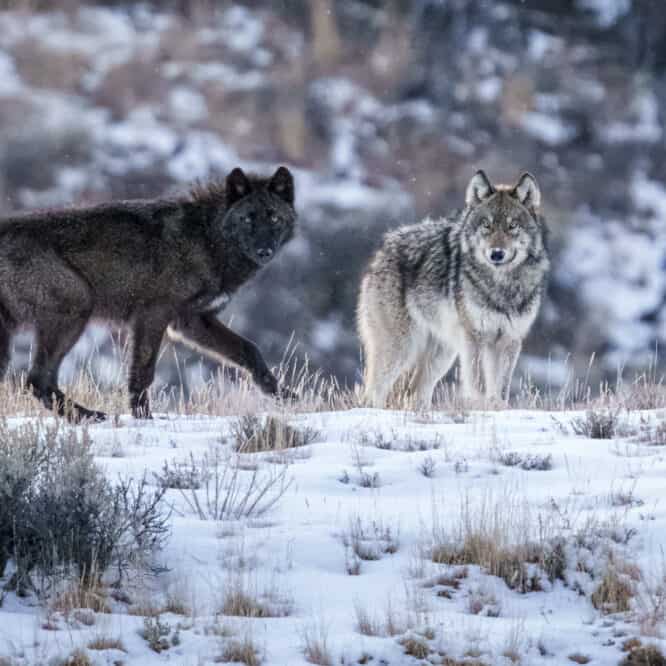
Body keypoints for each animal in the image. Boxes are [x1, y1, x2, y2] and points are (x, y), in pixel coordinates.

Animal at [0, 165, 297, 421]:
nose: (264, 251)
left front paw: (285, 395)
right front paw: (143, 417)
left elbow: (250, 350)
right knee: (38, 380)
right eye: (247, 219)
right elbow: (143, 373)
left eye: (274, 217)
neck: (206, 239)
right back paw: (89, 416)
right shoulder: (153, 315)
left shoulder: (192, 322)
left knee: (38, 381)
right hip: (77, 308)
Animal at [358, 170, 549, 409]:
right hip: (400, 349)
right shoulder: (476, 337)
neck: (501, 286)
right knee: (373, 392)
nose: (496, 254)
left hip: (440, 356)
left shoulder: (509, 339)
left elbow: (501, 388)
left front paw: (497, 409)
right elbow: (479, 383)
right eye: (486, 225)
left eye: (512, 226)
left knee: (413, 392)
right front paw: (481, 408)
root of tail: (384, 247)